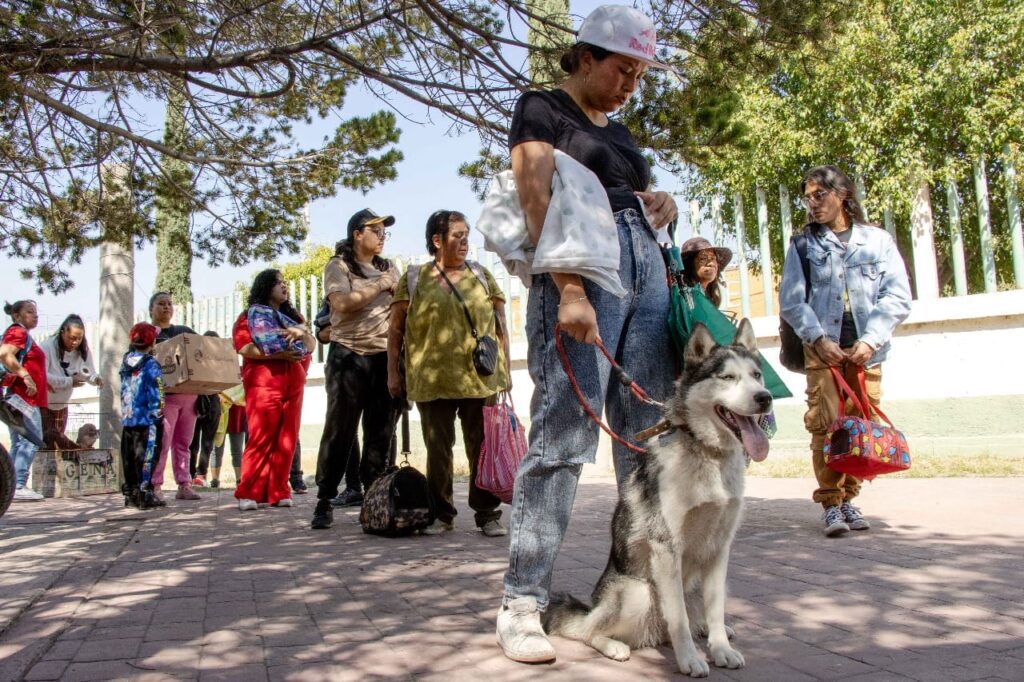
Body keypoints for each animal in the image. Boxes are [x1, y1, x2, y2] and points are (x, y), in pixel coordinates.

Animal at [544, 319, 770, 675]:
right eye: (727, 377)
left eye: (756, 375)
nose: (765, 398)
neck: (709, 454)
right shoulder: (666, 548)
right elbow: (677, 618)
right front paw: (690, 659)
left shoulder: (720, 549)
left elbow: (716, 611)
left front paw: (721, 649)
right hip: (637, 591)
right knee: (588, 631)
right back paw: (614, 646)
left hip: (697, 584)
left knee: (697, 616)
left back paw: (709, 631)